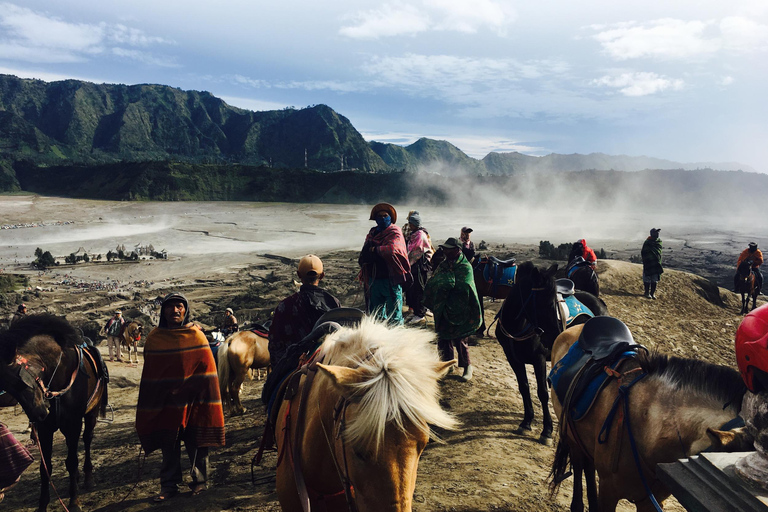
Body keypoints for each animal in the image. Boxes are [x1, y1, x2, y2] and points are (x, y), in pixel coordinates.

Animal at [0, 314, 108, 510]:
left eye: (20, 382)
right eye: (7, 389)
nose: (39, 414)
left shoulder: (73, 423)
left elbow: (72, 462)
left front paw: (74, 502)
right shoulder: (45, 429)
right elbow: (46, 468)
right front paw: (42, 505)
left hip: (91, 414)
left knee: (87, 440)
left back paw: (88, 477)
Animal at [492, 264, 608, 444]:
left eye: (555, 302)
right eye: (543, 303)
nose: (557, 334)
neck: (517, 326)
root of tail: (599, 303)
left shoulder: (538, 359)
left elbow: (542, 393)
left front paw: (546, 430)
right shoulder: (513, 358)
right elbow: (524, 387)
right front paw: (526, 421)